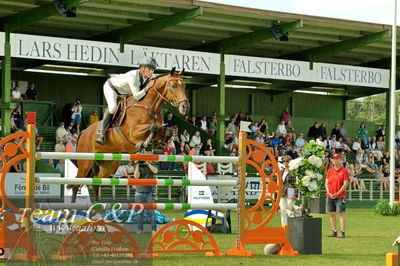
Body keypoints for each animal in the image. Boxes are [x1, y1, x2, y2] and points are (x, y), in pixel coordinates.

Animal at [71, 67, 190, 203]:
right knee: (76, 185)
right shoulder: (133, 132)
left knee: (96, 182)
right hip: (85, 162)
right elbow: (153, 127)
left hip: (109, 164)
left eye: (184, 86)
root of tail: (83, 132)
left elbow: (167, 130)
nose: (185, 107)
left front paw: (160, 143)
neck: (150, 106)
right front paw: (145, 143)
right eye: (173, 85)